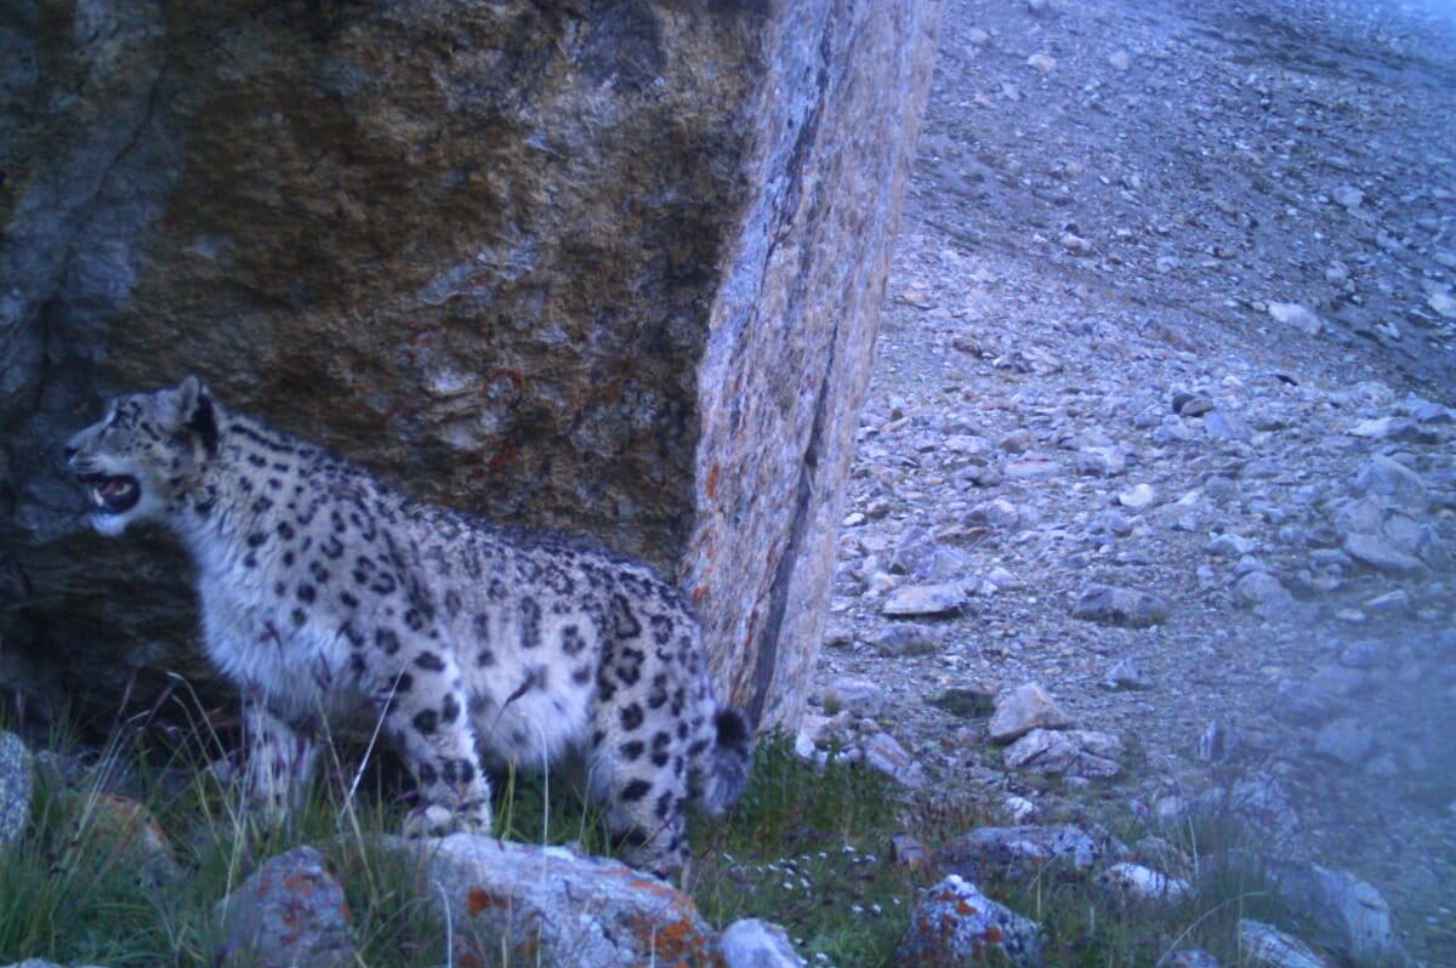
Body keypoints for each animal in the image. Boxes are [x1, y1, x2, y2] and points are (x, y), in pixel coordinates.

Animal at [64, 375, 753, 877]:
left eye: (120, 416)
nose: (66, 448)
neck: (219, 544)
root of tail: (688, 618)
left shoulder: (405, 647)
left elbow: (436, 736)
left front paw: (452, 821)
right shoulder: (274, 673)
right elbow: (272, 762)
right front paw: (259, 827)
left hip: (638, 744)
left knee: (660, 833)